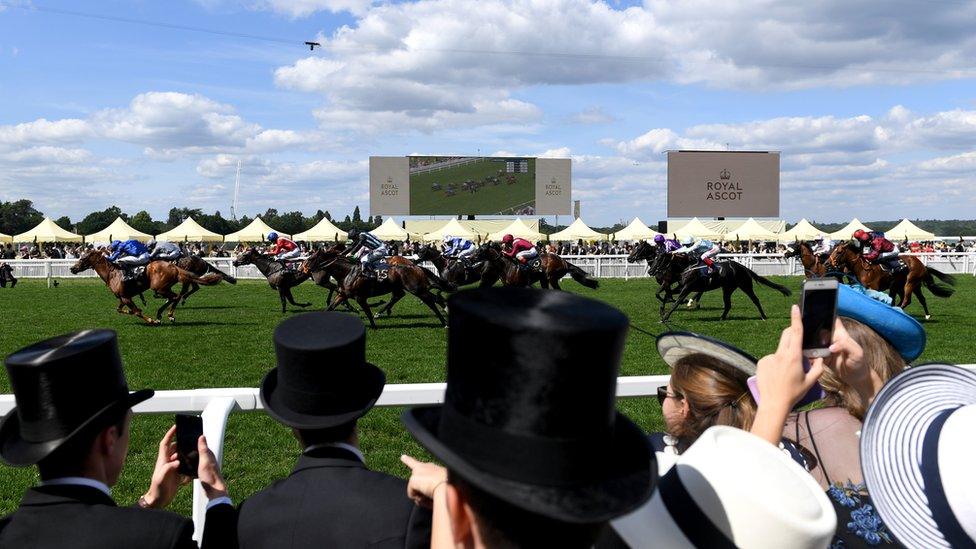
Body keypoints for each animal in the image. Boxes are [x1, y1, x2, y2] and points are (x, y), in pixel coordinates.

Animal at [70, 249, 223, 324]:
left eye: (83, 258)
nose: (72, 268)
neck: (113, 274)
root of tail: (173, 266)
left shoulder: (126, 297)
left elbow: (137, 312)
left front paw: (150, 320)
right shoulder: (123, 297)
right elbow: (120, 310)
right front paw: (132, 311)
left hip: (159, 287)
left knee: (176, 296)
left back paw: (166, 315)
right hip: (164, 287)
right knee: (175, 296)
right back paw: (163, 314)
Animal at [300, 248, 448, 330]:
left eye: (311, 258)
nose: (303, 268)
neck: (347, 272)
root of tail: (415, 266)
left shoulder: (360, 297)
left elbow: (368, 312)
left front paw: (374, 326)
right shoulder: (342, 295)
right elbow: (330, 307)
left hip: (416, 289)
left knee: (430, 301)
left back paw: (444, 321)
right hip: (405, 287)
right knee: (404, 296)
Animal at [828, 242, 956, 318]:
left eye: (839, 252)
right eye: (832, 250)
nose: (827, 263)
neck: (864, 268)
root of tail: (922, 265)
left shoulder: (874, 287)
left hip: (909, 283)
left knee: (906, 300)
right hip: (911, 286)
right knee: (921, 299)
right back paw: (926, 315)